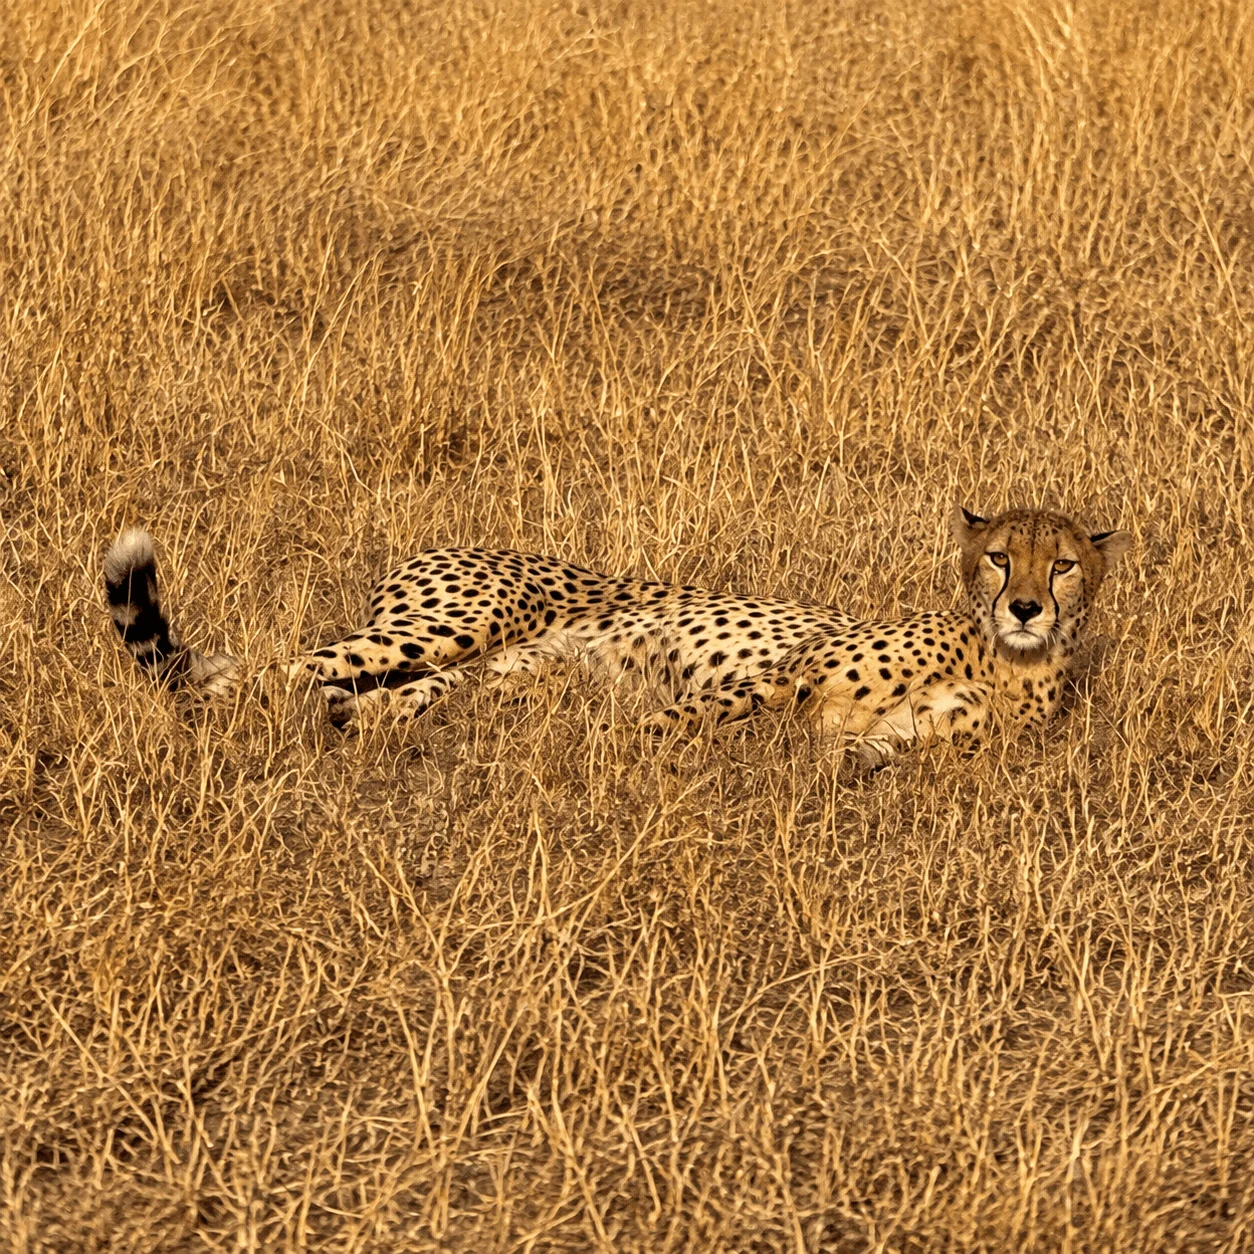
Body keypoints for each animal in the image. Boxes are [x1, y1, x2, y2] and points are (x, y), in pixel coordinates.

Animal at [103, 506, 1131, 763]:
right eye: (999, 559)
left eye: (1062, 565)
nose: (1026, 606)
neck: (1005, 661)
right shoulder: (788, 671)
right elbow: (708, 709)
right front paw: (638, 743)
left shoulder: (910, 736)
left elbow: (873, 748)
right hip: (442, 628)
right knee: (269, 673)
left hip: (473, 672)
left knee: (369, 701)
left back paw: (353, 725)